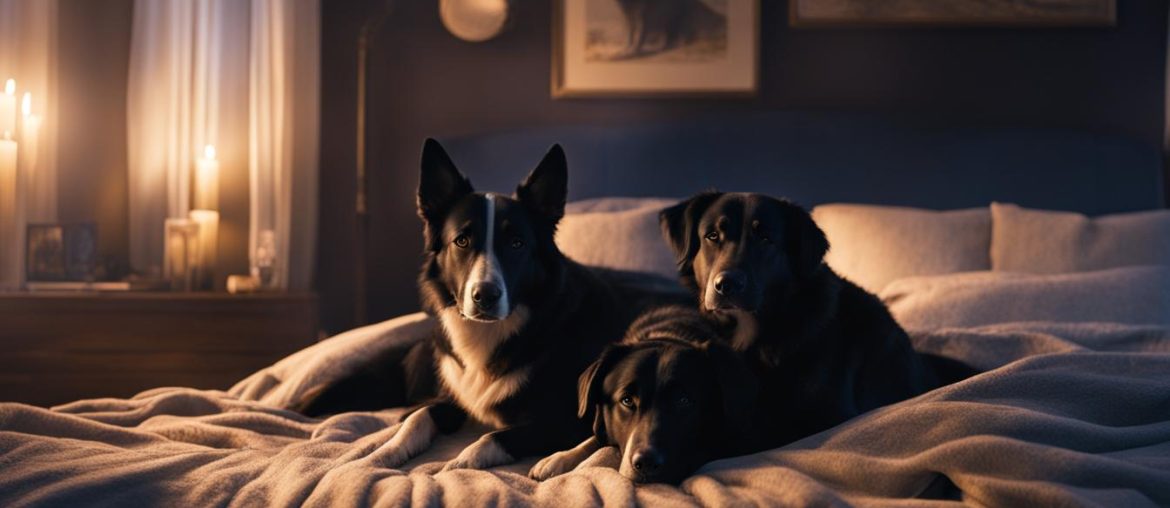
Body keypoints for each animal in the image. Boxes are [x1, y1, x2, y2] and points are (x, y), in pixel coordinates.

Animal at [533, 306, 753, 484]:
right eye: (627, 401)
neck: (667, 335)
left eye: (683, 401)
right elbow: (596, 437)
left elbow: (607, 449)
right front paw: (561, 458)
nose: (646, 463)